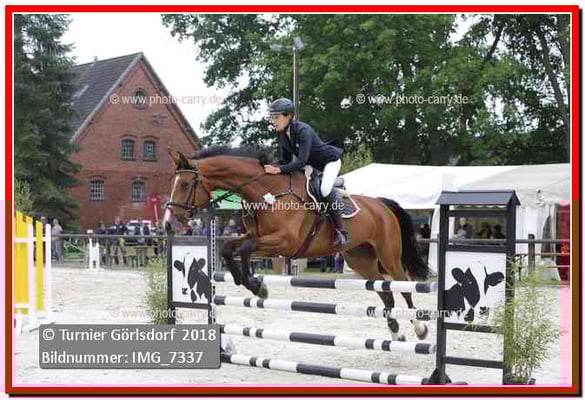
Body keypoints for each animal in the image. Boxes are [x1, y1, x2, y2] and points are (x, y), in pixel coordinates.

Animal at [163, 146, 430, 341]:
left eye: (185, 185)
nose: (168, 224)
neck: (265, 192)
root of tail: (382, 205)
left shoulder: (285, 242)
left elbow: (246, 250)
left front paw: (257, 285)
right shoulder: (255, 236)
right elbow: (230, 249)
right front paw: (248, 282)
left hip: (389, 256)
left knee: (404, 286)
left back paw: (420, 328)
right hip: (360, 259)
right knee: (385, 292)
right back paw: (395, 333)